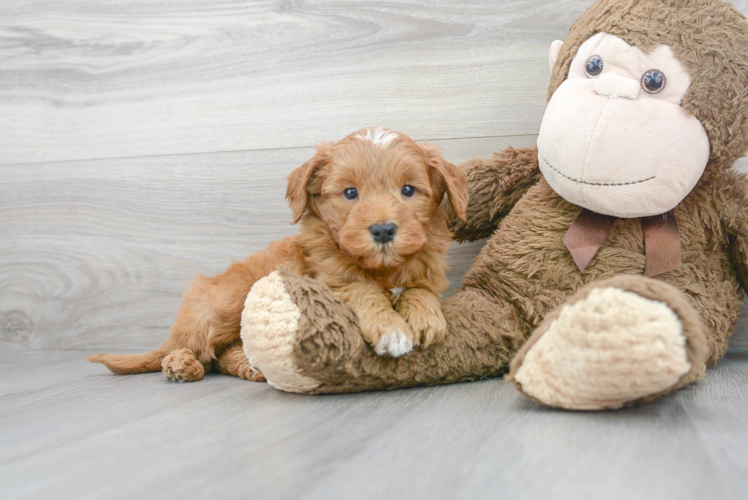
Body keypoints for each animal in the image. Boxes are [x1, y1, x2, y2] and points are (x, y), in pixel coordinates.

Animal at [87, 127, 468, 380]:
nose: (384, 230)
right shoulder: (328, 281)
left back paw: (249, 365)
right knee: (192, 347)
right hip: (224, 304)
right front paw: (390, 328)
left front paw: (425, 318)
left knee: (225, 352)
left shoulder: (427, 273)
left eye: (408, 190)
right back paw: (181, 364)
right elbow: (362, 289)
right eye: (350, 193)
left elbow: (420, 291)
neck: (382, 269)